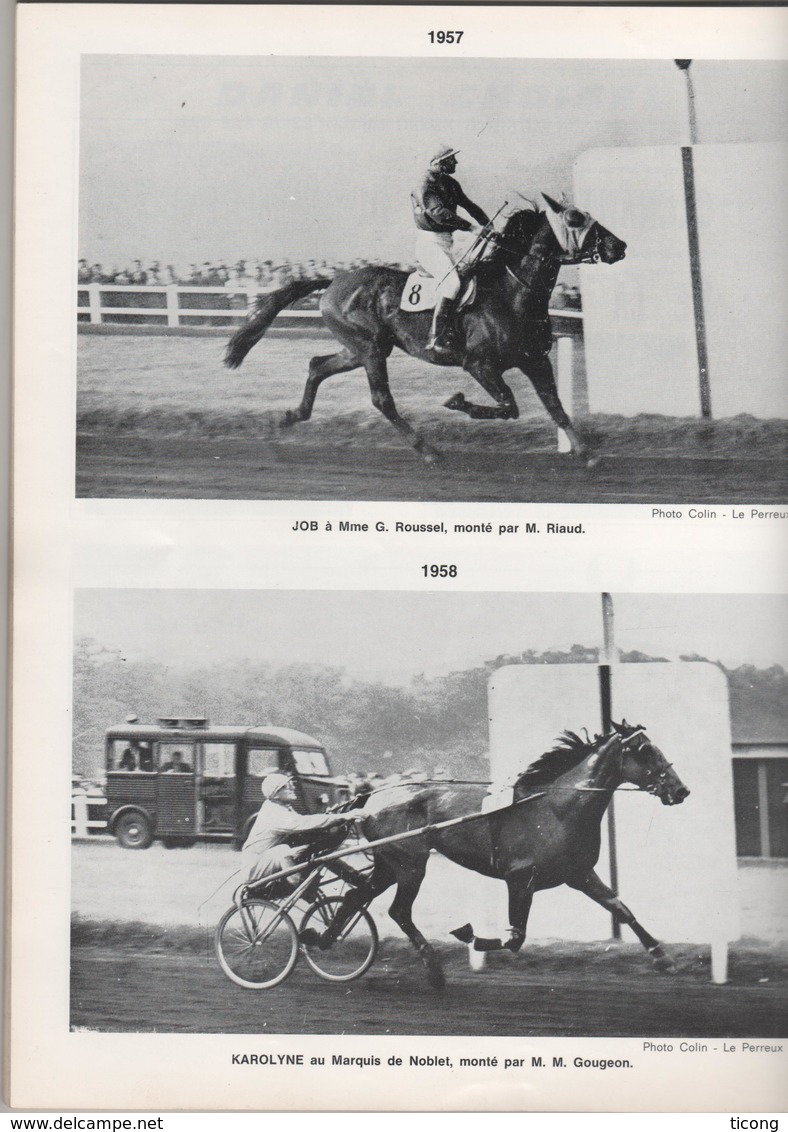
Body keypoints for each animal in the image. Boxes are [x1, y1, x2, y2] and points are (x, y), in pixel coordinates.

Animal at [224, 196, 624, 461]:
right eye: (576, 218)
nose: (618, 244)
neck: (513, 292)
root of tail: (333, 280)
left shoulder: (534, 360)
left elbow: (555, 405)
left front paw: (586, 451)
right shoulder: (479, 364)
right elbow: (509, 405)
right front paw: (457, 401)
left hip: (359, 348)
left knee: (317, 365)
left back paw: (290, 417)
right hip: (370, 348)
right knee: (381, 399)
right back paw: (427, 449)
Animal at [307, 719, 688, 987]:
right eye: (645, 750)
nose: (681, 790)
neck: (556, 807)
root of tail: (371, 798)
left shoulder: (579, 874)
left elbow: (621, 908)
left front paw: (663, 958)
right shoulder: (519, 879)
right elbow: (515, 938)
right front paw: (469, 935)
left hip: (389, 864)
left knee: (357, 896)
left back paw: (324, 937)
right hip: (411, 864)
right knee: (399, 910)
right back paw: (434, 968)